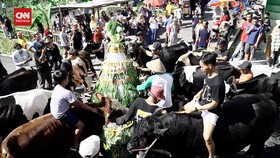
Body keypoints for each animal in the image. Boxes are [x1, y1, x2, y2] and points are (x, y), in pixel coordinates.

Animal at [128, 93, 278, 157]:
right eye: (136, 128)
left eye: (146, 134)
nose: (129, 145)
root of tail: (269, 101)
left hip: (260, 140)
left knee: (255, 151)